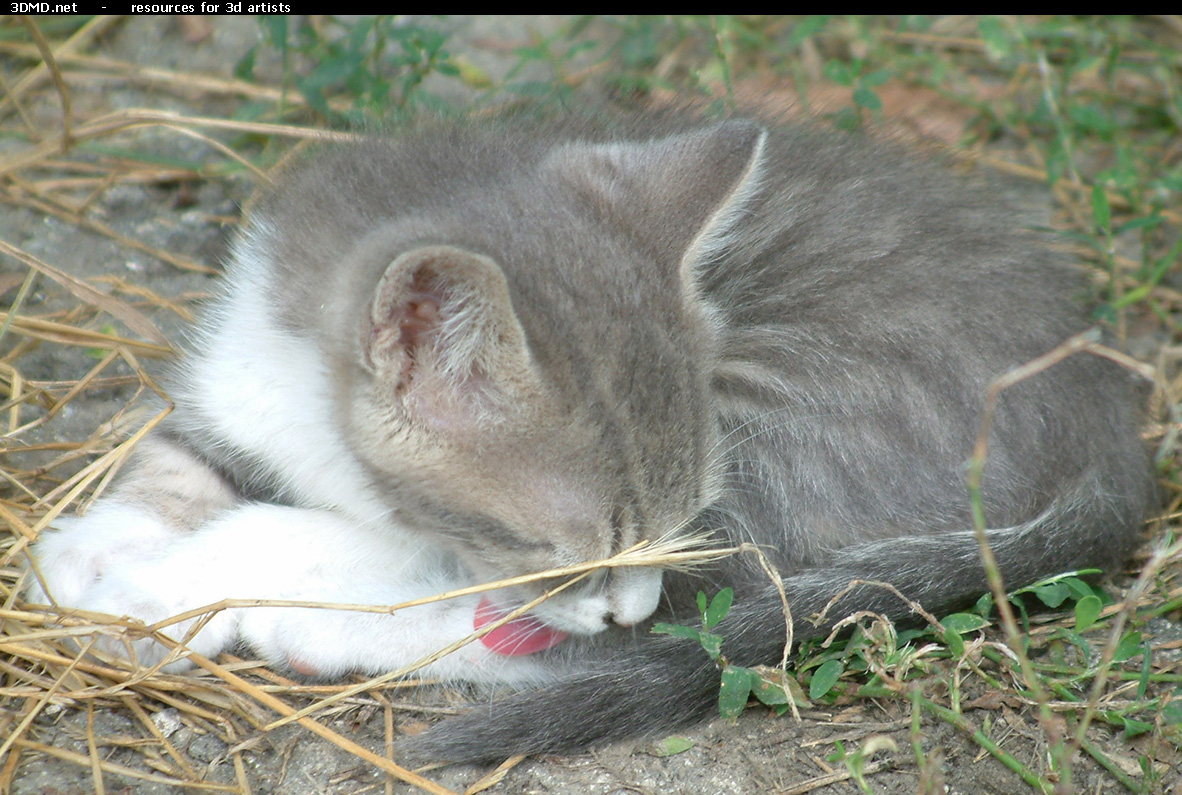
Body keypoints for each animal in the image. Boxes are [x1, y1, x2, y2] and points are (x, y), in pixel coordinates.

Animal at [29, 108, 1153, 760]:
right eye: (571, 548)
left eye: (673, 527)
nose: (626, 599)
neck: (325, 436)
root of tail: (1109, 406)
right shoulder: (244, 365)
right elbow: (178, 455)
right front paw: (94, 552)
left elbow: (384, 556)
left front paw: (174, 583)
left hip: (804, 414)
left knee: (652, 630)